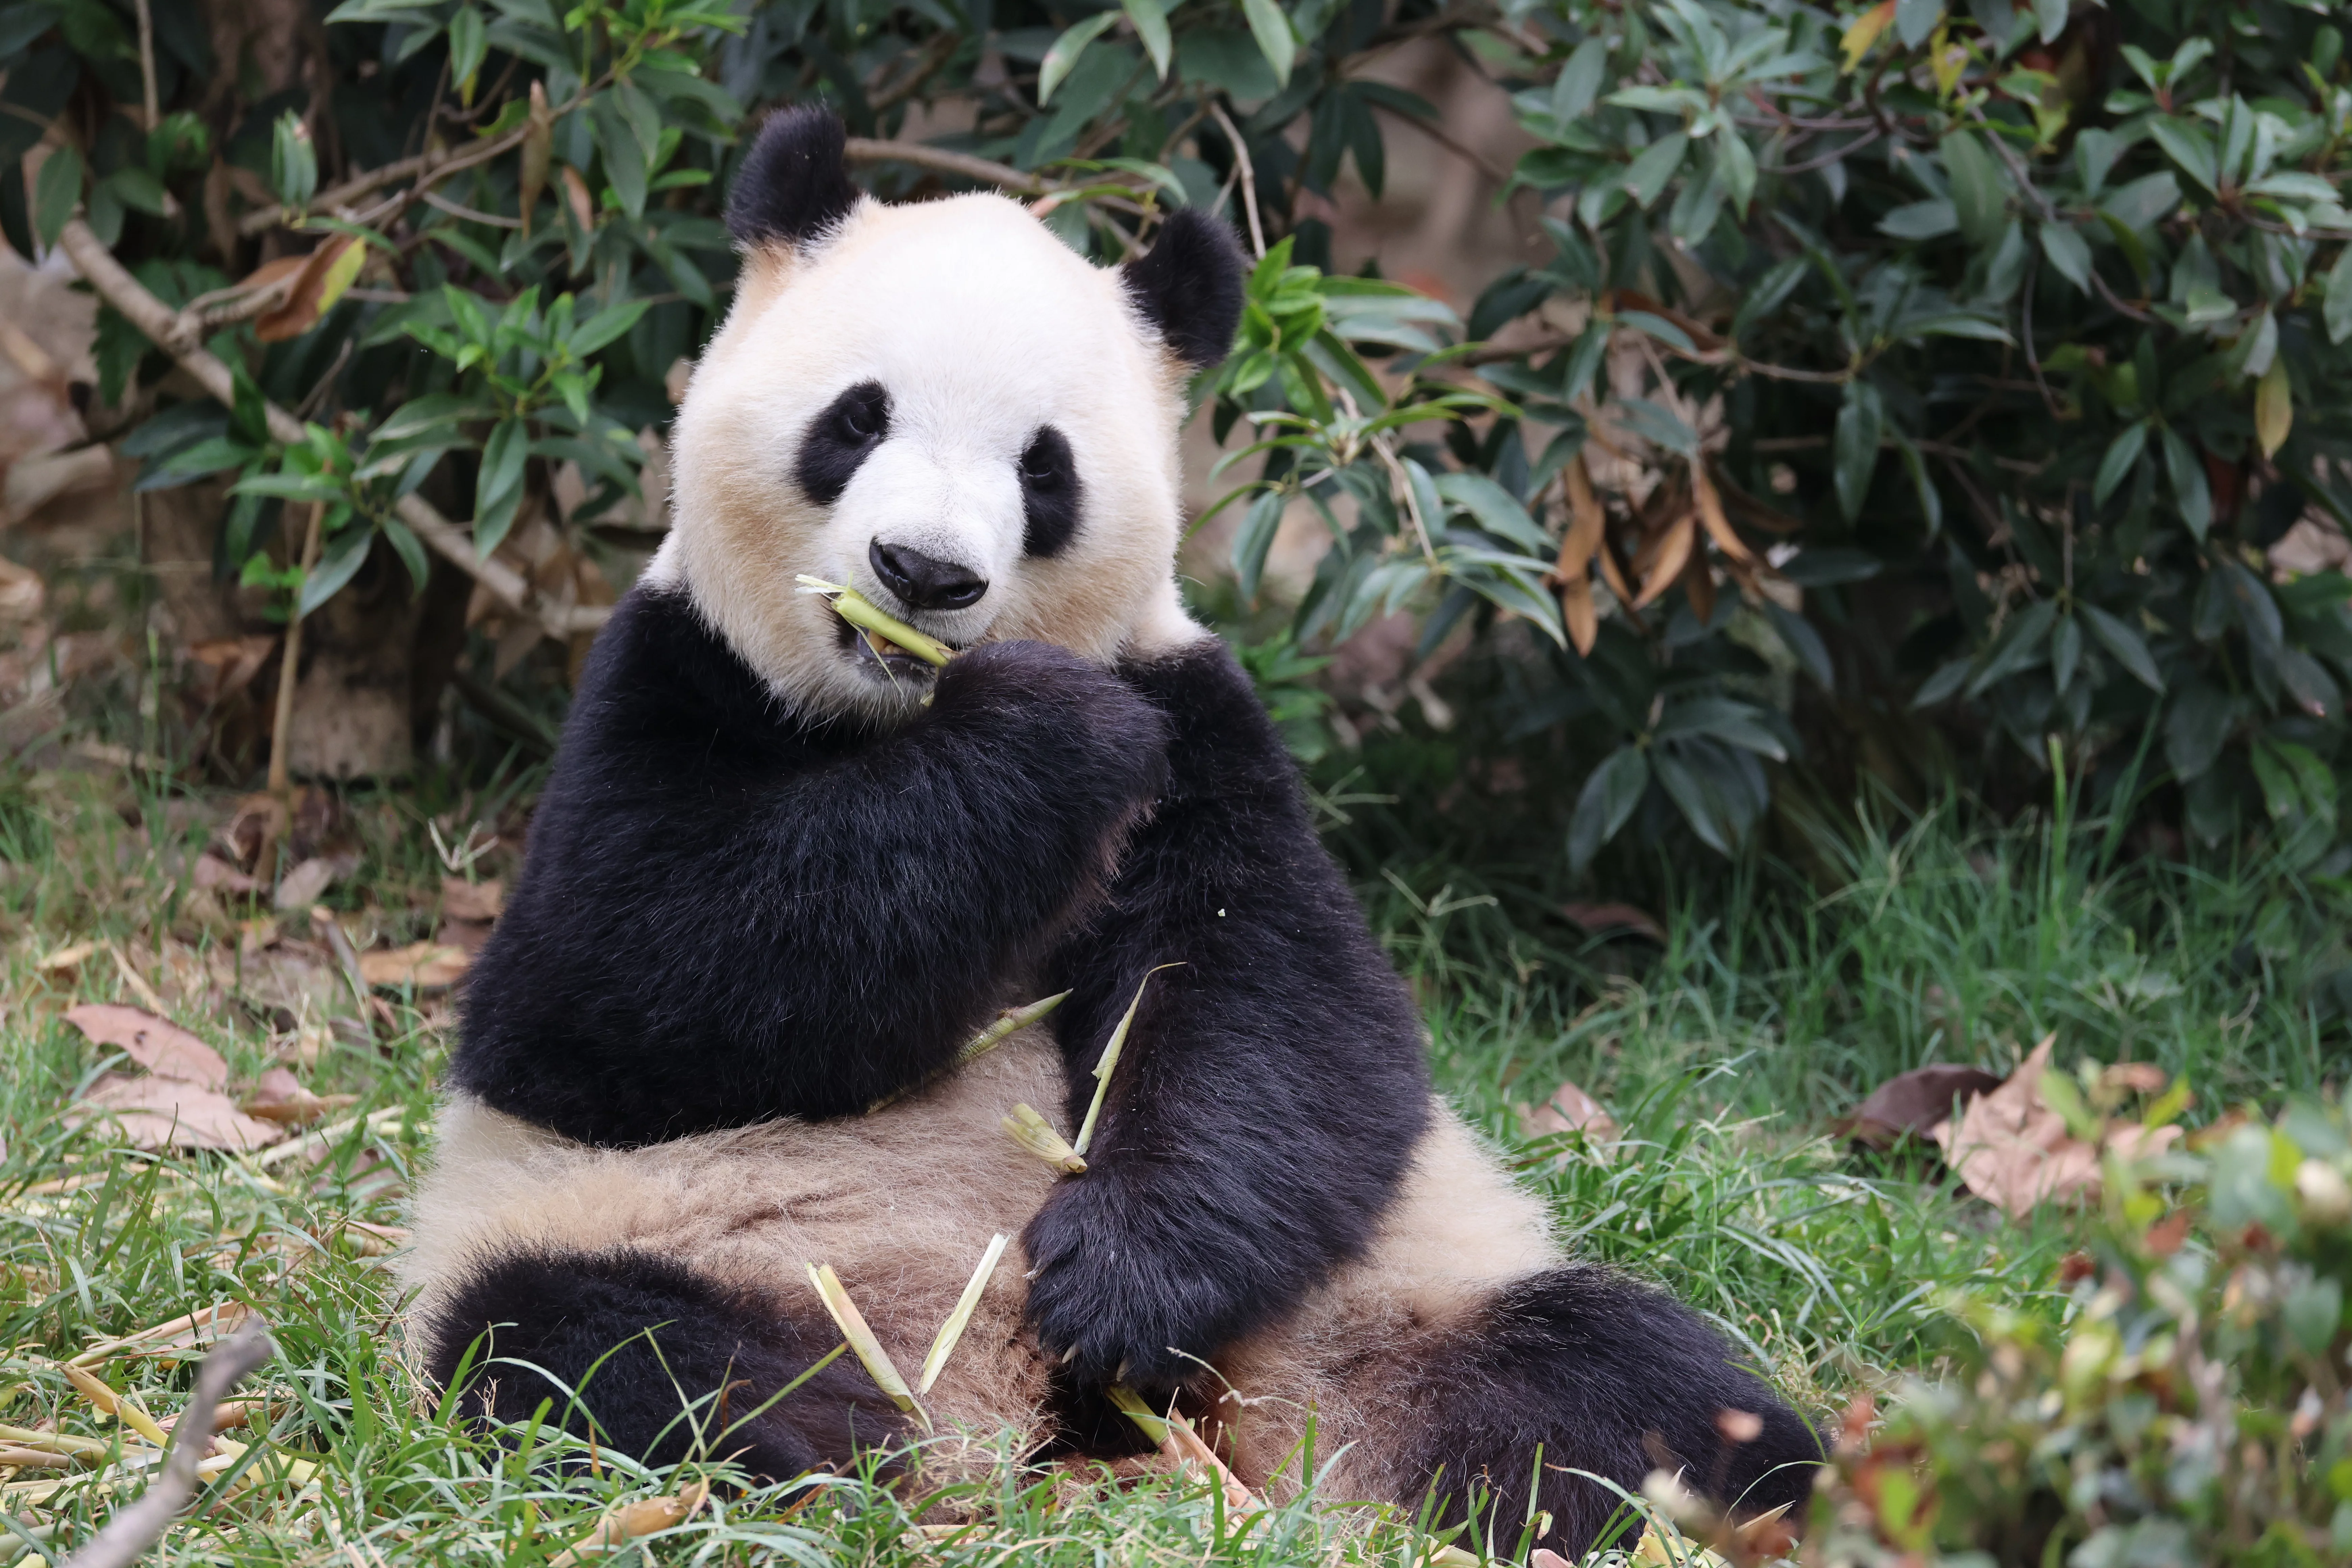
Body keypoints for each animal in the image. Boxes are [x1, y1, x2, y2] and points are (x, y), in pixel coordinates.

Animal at [398, 104, 1821, 1559]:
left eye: (1045, 466)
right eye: (856, 418)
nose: (923, 574)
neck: (885, 717)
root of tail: (1009, 1420)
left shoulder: (1198, 718)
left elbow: (1277, 1006)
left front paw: (1122, 1279)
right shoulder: (669, 676)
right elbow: (612, 990)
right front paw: (1041, 736)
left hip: (1370, 1296)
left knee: (1613, 1376)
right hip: (688, 1236)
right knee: (589, 1351)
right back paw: (810, 1481)